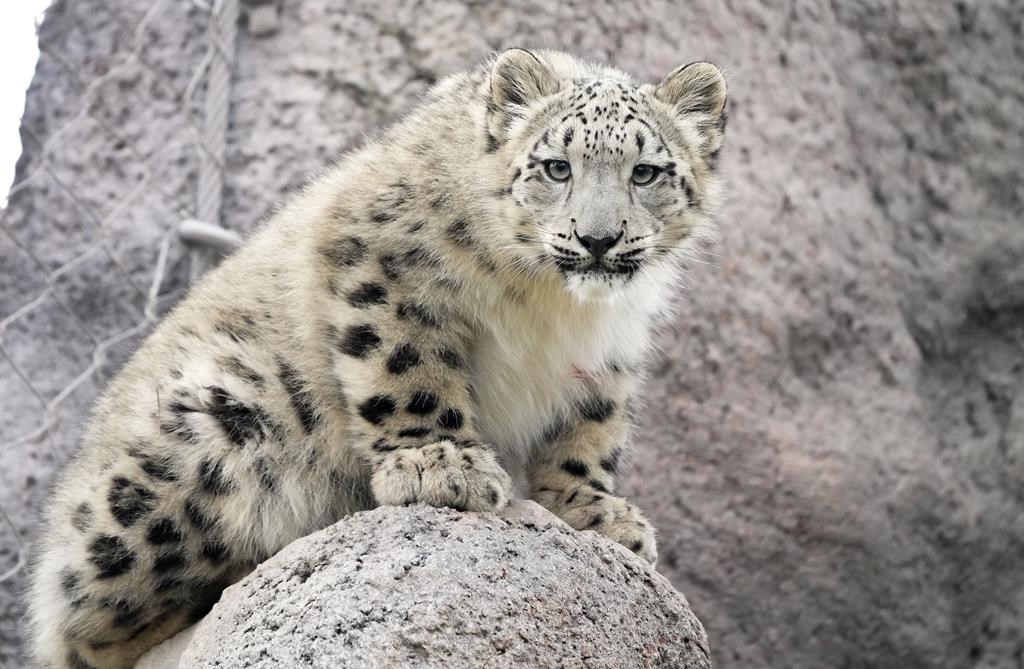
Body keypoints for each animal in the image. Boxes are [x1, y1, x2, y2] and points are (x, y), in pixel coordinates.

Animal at [26, 48, 727, 668]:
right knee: (85, 629)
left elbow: (590, 431)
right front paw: (440, 466)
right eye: (557, 167)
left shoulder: (611, 356)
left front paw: (593, 509)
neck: (557, 306)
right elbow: (408, 369)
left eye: (646, 172)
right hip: (212, 428)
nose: (598, 239)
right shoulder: (382, 267)